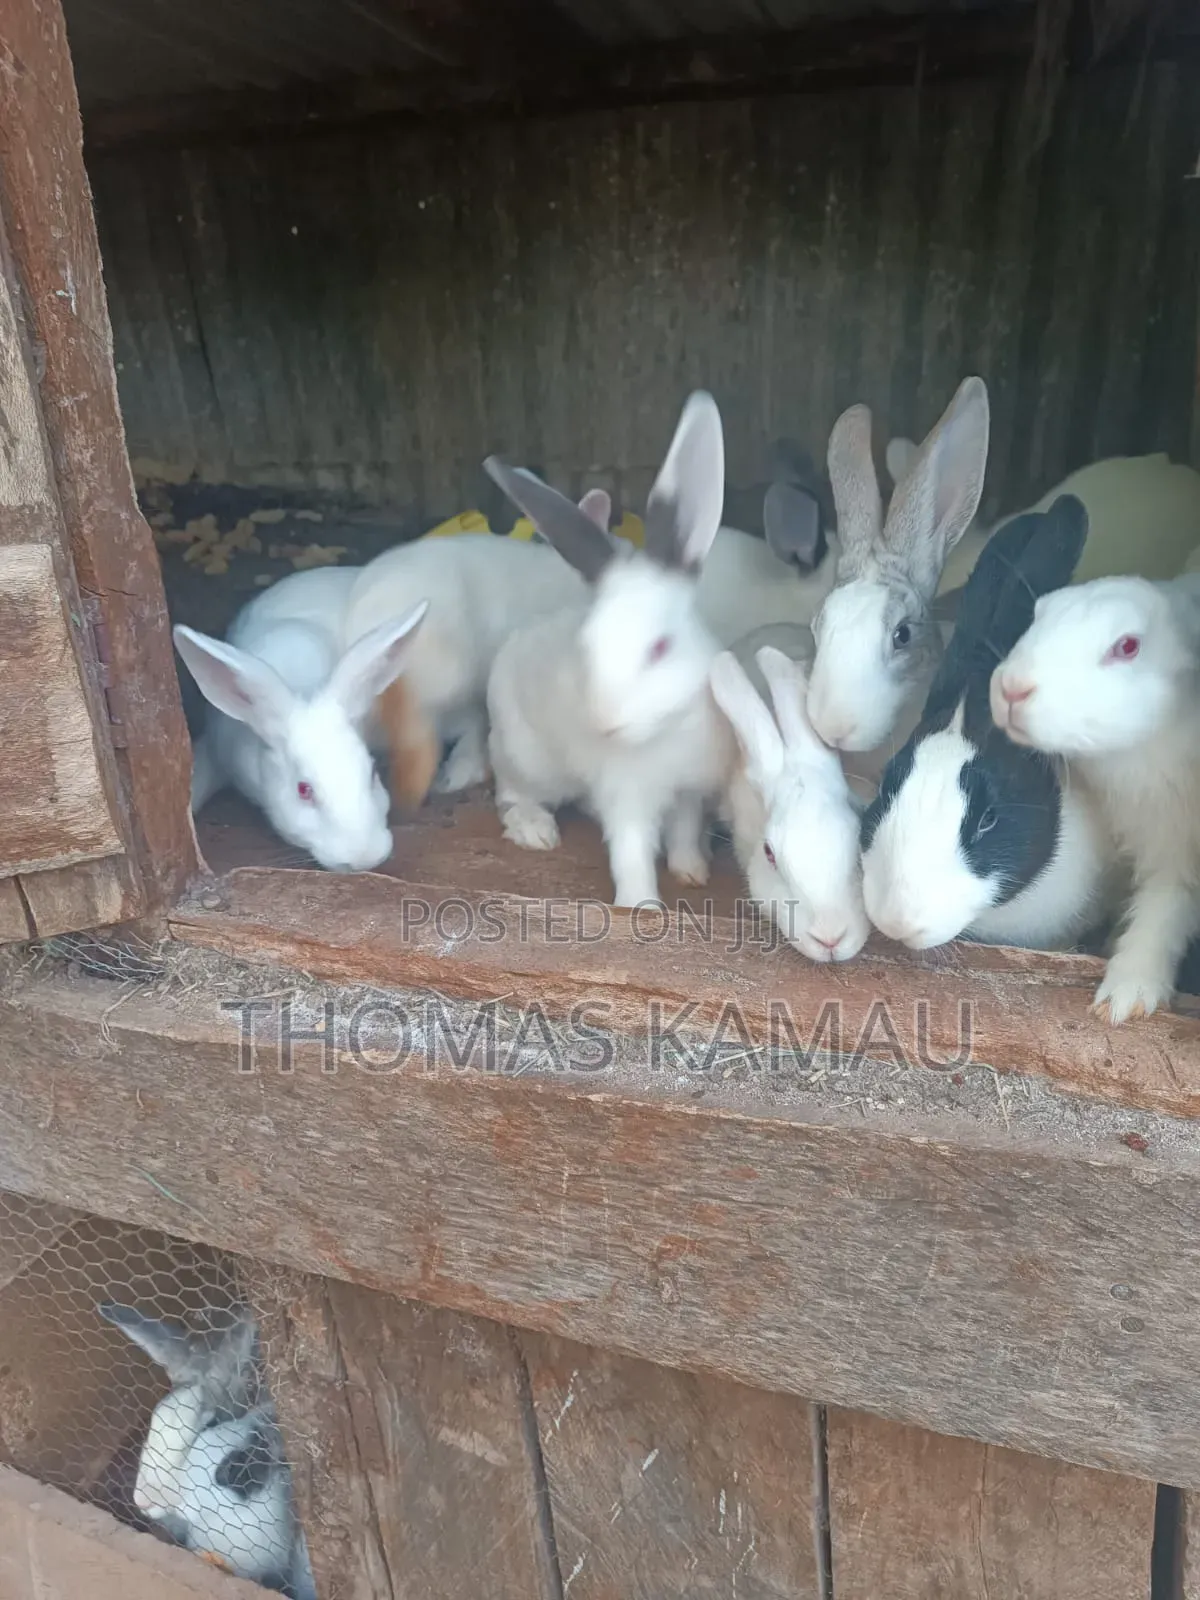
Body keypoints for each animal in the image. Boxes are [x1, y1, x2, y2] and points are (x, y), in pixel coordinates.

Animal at [482, 391, 736, 908]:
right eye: (588, 644)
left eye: (660, 647)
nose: (603, 721)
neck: (667, 728)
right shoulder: (628, 797)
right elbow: (631, 851)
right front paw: (642, 906)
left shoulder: (688, 793)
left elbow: (683, 832)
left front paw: (692, 871)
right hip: (527, 761)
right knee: (511, 796)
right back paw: (535, 831)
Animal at [990, 569, 1200, 1023]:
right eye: (1038, 613)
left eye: (1128, 646)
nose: (1013, 688)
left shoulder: (1178, 849)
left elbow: (1164, 910)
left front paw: (1126, 997)